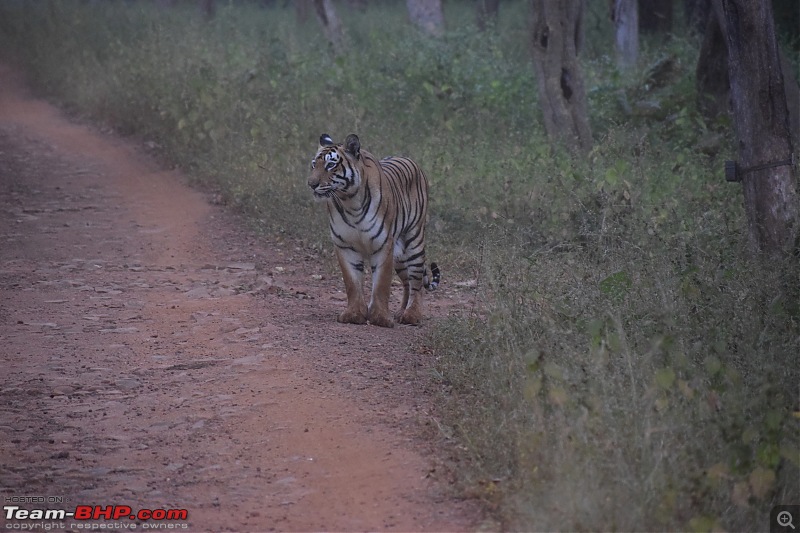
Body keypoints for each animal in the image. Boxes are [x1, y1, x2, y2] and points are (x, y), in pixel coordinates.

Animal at [310, 131, 440, 326]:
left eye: (330, 165)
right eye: (313, 164)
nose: (311, 184)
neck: (349, 201)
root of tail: (409, 159)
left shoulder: (383, 244)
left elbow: (381, 285)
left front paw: (380, 318)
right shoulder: (345, 246)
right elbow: (352, 283)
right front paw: (354, 315)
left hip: (414, 241)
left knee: (416, 282)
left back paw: (412, 315)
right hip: (399, 257)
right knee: (407, 283)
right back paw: (400, 312)